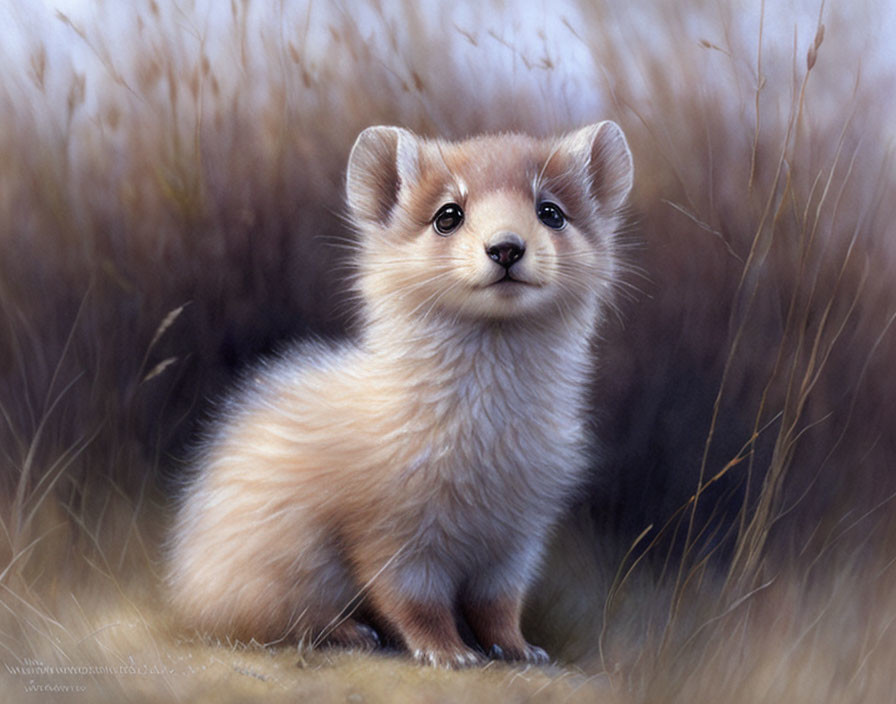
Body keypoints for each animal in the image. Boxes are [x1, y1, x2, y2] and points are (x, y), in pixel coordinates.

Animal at [164, 124, 632, 668]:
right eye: (448, 215)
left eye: (551, 211)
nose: (506, 247)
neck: (488, 454)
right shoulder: (390, 531)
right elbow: (413, 603)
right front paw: (449, 653)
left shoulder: (519, 536)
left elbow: (498, 605)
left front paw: (521, 649)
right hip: (270, 564)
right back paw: (352, 632)